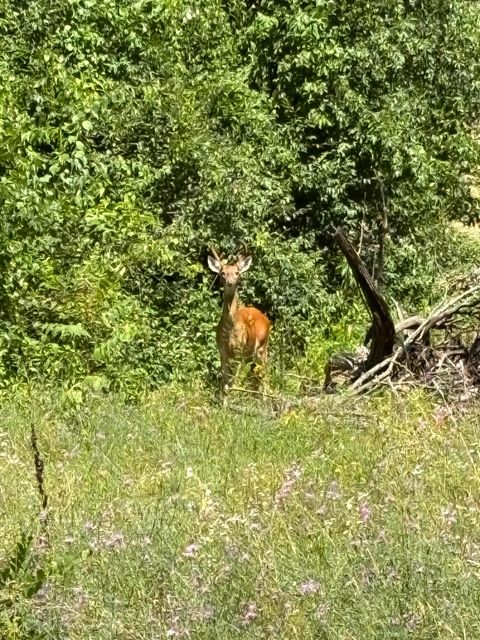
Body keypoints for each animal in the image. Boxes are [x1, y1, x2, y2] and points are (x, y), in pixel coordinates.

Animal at [208, 245, 272, 396]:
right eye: (223, 273)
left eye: (237, 272)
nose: (231, 283)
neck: (230, 328)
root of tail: (264, 316)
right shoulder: (222, 351)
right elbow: (226, 383)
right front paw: (224, 401)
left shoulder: (239, 351)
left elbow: (234, 383)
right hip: (250, 354)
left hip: (262, 347)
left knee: (265, 374)